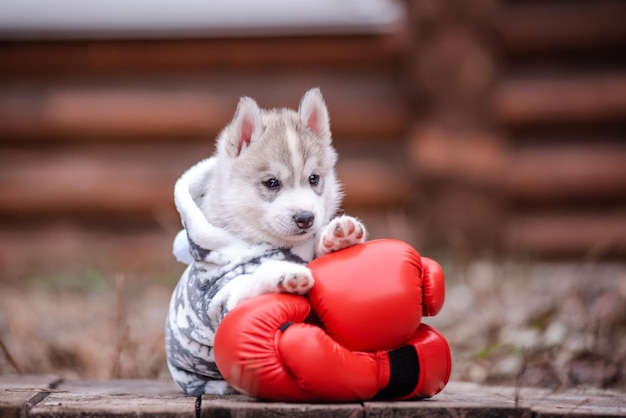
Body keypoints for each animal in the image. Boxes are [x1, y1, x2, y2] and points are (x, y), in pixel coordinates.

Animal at [165, 88, 366, 396]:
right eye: (272, 182)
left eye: (314, 178)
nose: (306, 218)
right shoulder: (222, 296)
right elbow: (252, 280)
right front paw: (284, 274)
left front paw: (336, 234)